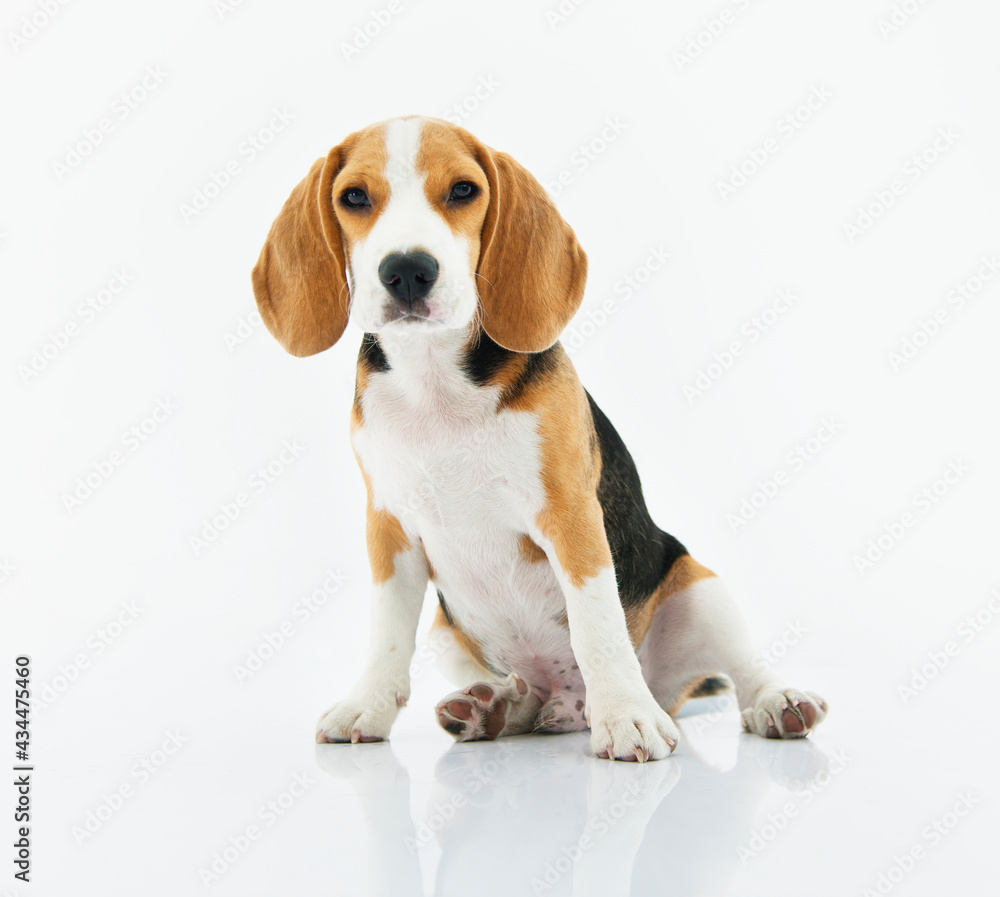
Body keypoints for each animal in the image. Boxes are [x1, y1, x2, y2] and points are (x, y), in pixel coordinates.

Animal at [252, 115, 828, 760]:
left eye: (463, 190)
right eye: (353, 197)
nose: (407, 270)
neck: (436, 383)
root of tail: (571, 704)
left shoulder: (570, 515)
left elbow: (596, 624)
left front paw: (626, 717)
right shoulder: (389, 529)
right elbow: (386, 635)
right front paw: (368, 706)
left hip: (701, 589)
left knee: (743, 666)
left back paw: (771, 703)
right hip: (450, 633)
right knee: (527, 695)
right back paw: (494, 709)